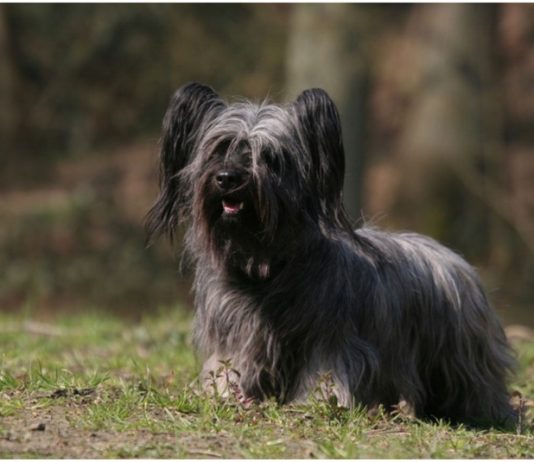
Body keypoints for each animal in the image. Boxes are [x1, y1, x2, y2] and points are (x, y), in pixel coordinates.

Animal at [147, 82, 520, 426]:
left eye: (270, 157)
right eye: (219, 149)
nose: (228, 178)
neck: (266, 270)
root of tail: (455, 258)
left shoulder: (329, 338)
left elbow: (325, 369)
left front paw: (318, 402)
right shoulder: (236, 335)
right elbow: (229, 365)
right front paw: (224, 393)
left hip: (459, 356)